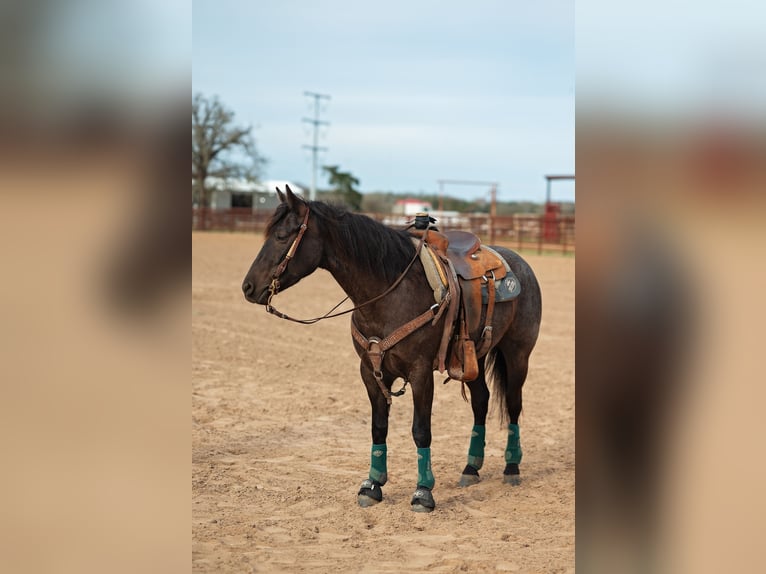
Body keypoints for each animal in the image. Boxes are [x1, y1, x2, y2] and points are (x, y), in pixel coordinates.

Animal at [242, 185, 541, 512]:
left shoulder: (421, 372)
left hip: (518, 355)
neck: (390, 293)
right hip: (474, 356)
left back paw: (511, 468)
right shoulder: (371, 371)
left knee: (513, 404)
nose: (247, 287)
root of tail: (520, 263)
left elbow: (421, 430)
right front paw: (372, 485)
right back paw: (471, 468)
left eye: (282, 236)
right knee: (481, 401)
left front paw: (423, 492)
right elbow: (378, 427)